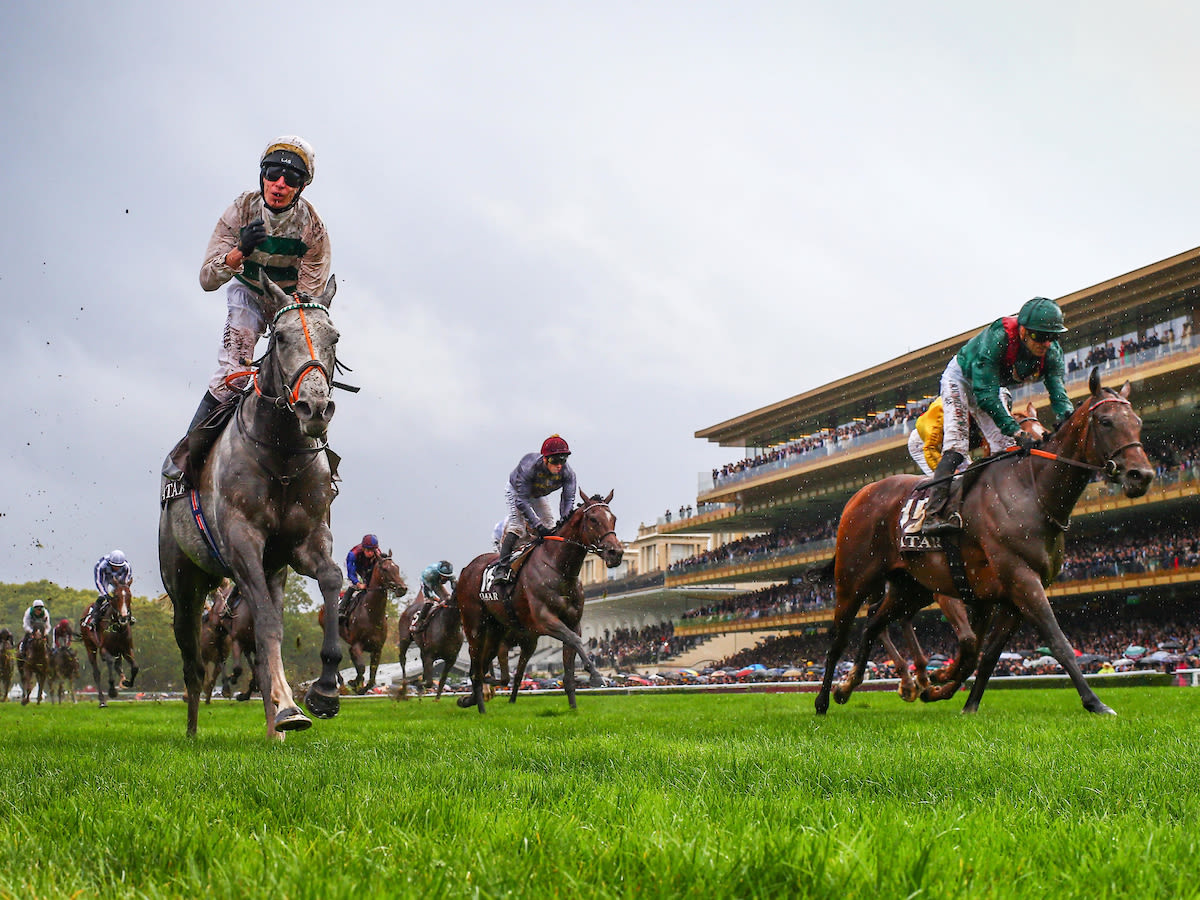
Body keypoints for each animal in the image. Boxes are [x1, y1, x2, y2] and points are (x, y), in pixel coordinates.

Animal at [81, 580, 138, 710]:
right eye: (116, 596)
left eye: (129, 595)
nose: (123, 617)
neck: (118, 629)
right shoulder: (104, 649)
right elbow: (109, 662)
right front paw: (112, 690)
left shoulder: (127, 649)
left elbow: (135, 667)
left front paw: (127, 682)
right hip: (90, 647)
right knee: (97, 673)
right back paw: (102, 701)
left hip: (117, 651)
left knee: (117, 666)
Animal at [159, 274, 348, 739]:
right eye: (280, 337)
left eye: (334, 337)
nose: (315, 407)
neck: (281, 455)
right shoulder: (242, 541)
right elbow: (265, 623)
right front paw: (290, 705)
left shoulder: (306, 540)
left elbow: (330, 581)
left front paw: (323, 693)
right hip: (183, 584)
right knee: (193, 664)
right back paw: (194, 732)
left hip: (272, 571)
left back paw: (273, 727)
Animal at [319, 554, 408, 696]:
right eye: (385, 569)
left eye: (397, 568)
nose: (402, 588)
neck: (371, 613)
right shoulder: (356, 645)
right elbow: (361, 668)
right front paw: (355, 684)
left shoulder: (377, 649)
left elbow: (372, 677)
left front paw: (359, 686)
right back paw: (341, 684)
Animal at [456, 489, 628, 715]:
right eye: (593, 519)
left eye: (613, 518)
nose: (615, 553)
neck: (558, 568)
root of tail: (467, 569)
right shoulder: (544, 620)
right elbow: (575, 640)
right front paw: (596, 676)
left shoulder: (573, 622)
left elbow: (569, 663)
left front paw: (573, 708)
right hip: (474, 626)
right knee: (476, 665)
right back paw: (482, 709)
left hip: (495, 631)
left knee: (482, 665)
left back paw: (470, 699)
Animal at [816, 367, 1152, 720]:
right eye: (1106, 421)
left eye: (1137, 422)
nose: (1141, 475)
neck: (1031, 491)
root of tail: (858, 496)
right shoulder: (1019, 580)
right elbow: (1054, 641)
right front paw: (1095, 702)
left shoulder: (1008, 595)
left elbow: (985, 652)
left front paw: (964, 701)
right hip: (854, 579)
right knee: (840, 636)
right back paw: (825, 699)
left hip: (909, 588)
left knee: (873, 624)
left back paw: (863, 686)